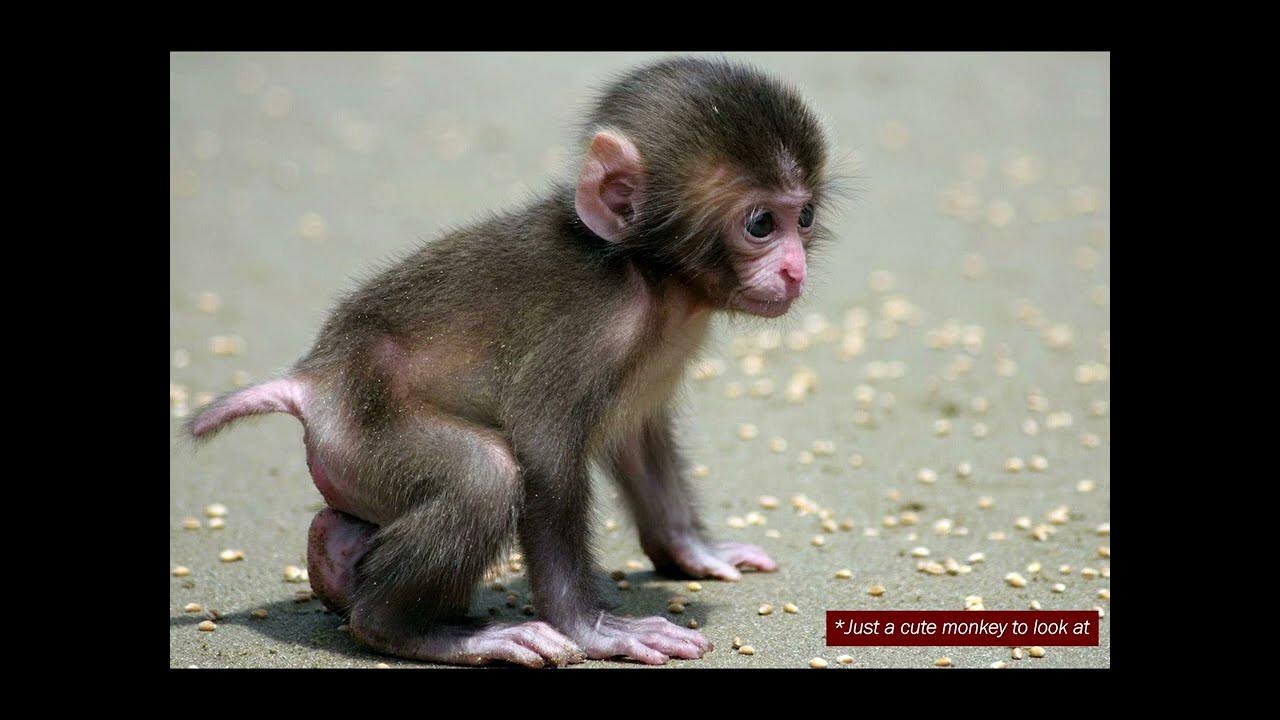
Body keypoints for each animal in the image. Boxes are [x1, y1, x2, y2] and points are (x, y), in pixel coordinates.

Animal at [186, 56, 837, 667]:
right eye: (761, 224)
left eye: (803, 217)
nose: (794, 270)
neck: (651, 276)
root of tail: (313, 381)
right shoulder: (592, 328)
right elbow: (543, 450)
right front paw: (593, 630)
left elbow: (634, 437)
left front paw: (692, 551)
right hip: (362, 430)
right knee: (484, 475)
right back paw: (416, 631)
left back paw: (336, 561)